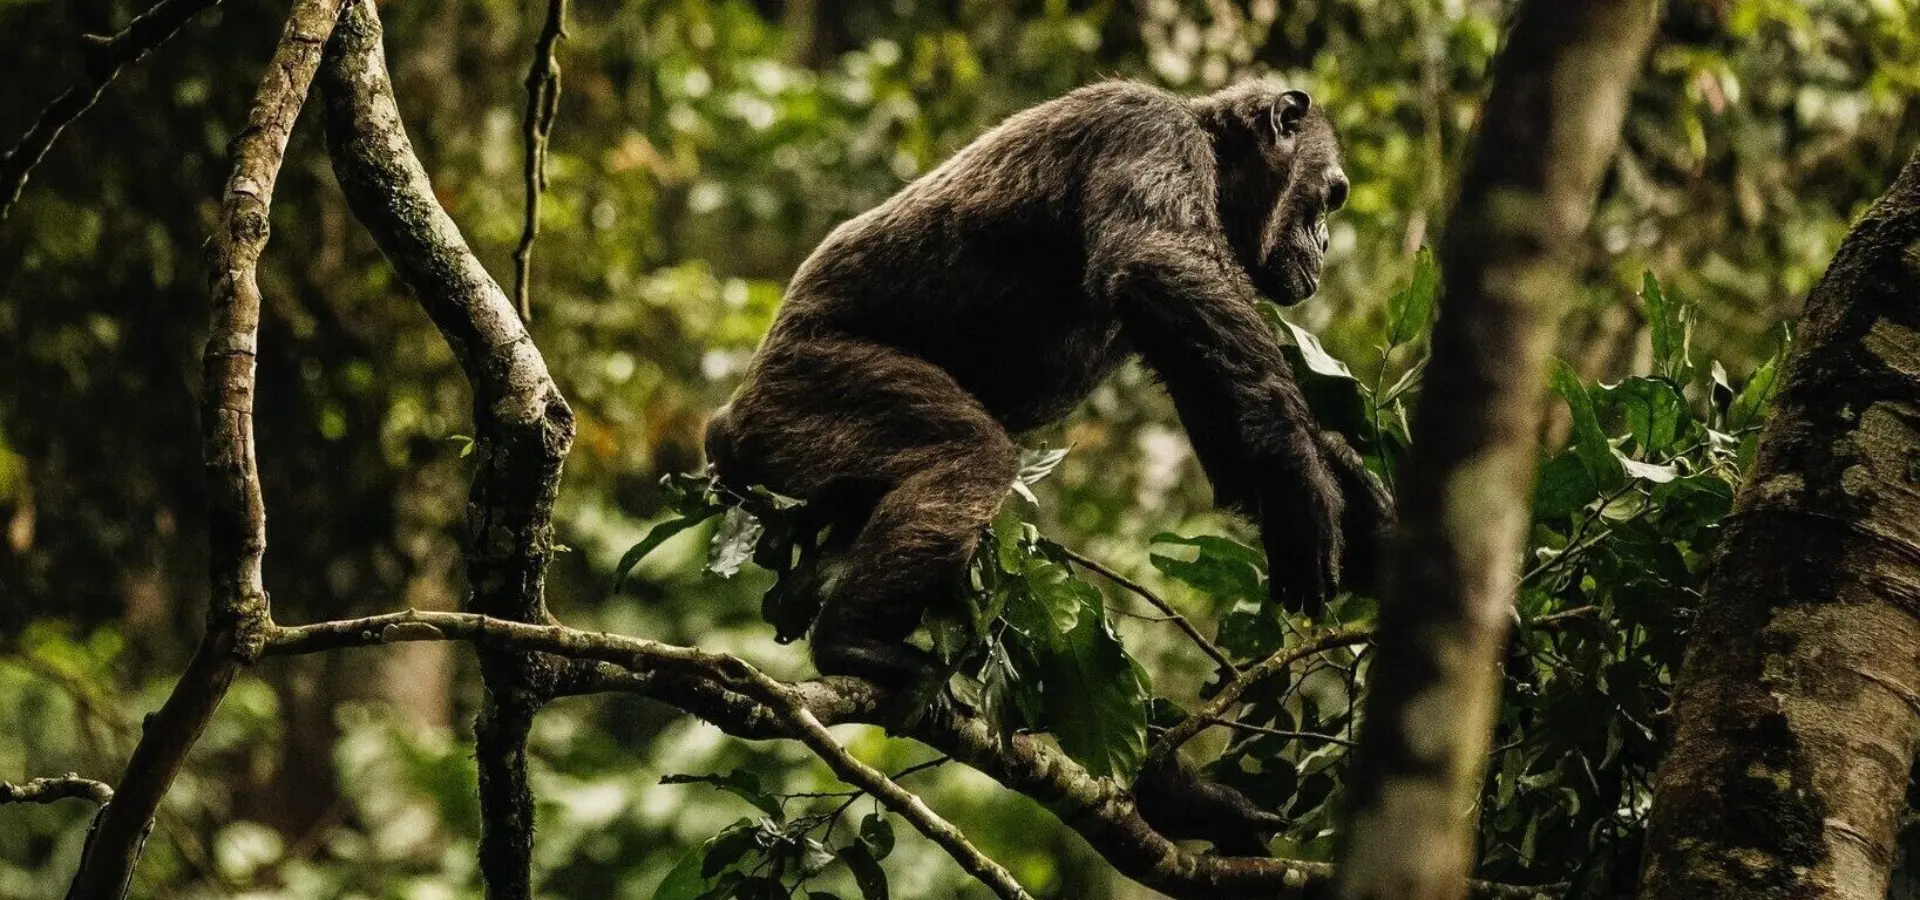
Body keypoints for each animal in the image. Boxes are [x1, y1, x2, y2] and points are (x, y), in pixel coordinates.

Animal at [704, 79, 1393, 682]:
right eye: (1332, 197)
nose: (1325, 242)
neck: (1214, 156)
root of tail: (728, 424)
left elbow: (1229, 424)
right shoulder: (1148, 134)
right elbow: (1160, 266)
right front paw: (1304, 492)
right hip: (809, 392)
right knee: (967, 458)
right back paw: (853, 643)